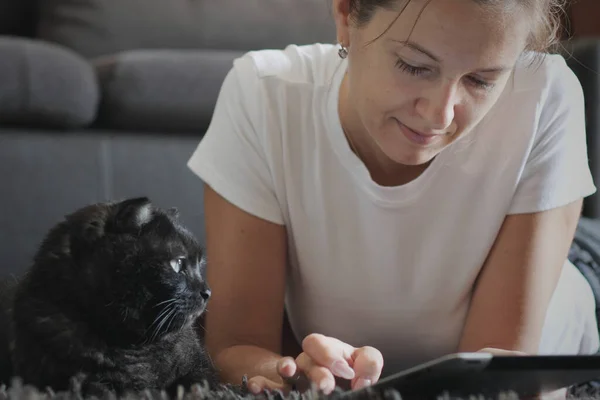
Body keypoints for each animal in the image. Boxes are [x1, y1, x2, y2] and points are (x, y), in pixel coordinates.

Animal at [2, 197, 241, 396]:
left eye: (199, 264)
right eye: (177, 263)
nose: (207, 291)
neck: (134, 345)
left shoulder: (201, 367)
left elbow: (200, 383)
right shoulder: (63, 381)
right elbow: (104, 389)